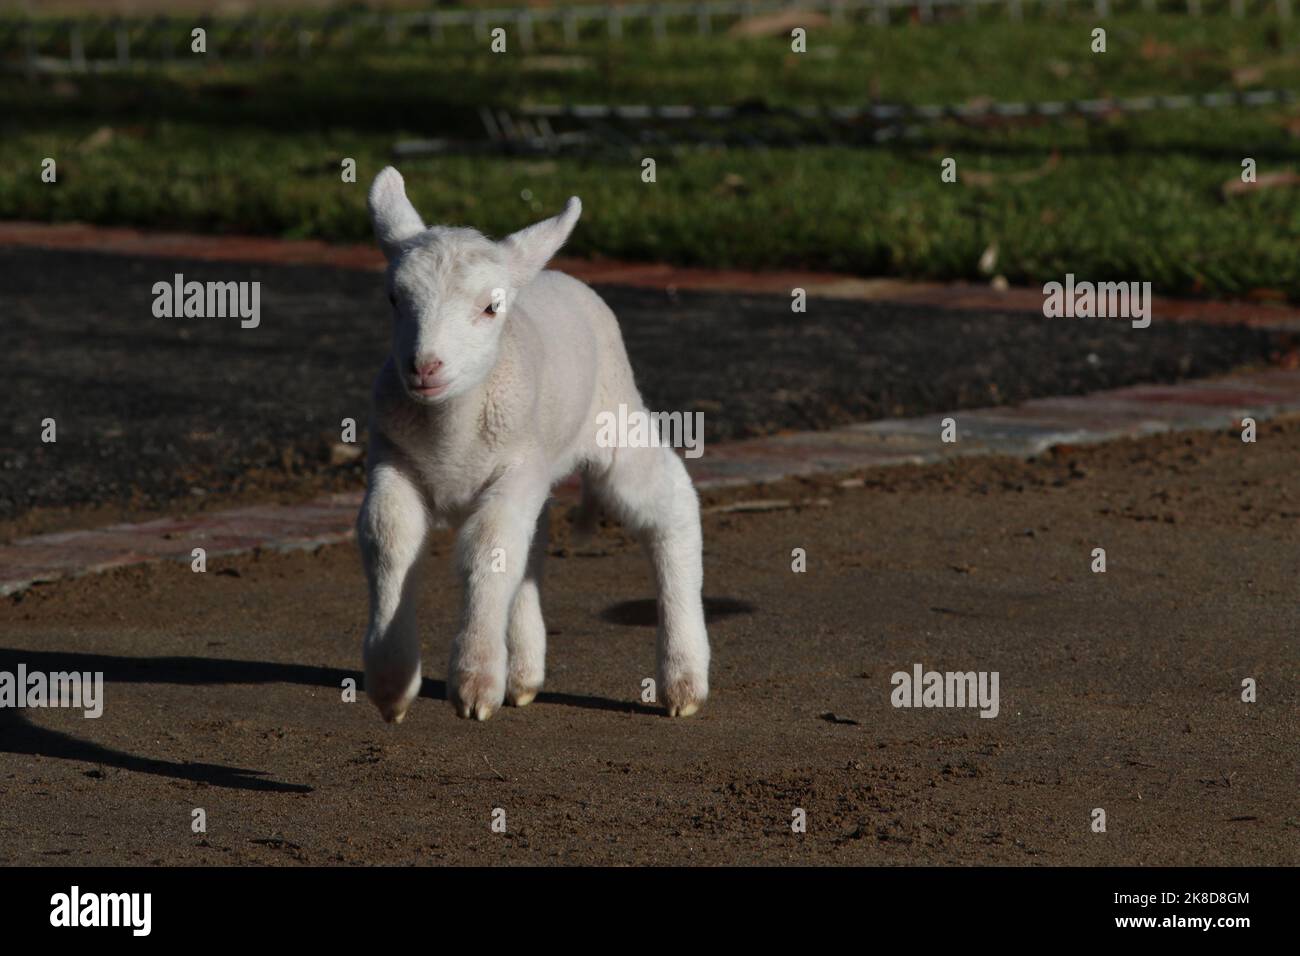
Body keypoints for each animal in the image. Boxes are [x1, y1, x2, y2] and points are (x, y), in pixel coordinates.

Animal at [356, 167, 712, 723]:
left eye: (490, 307)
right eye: (394, 298)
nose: (424, 366)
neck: (450, 435)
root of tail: (553, 274)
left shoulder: (516, 465)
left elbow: (490, 547)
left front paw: (476, 680)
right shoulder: (392, 459)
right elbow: (390, 537)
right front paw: (392, 684)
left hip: (614, 415)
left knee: (670, 504)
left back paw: (684, 680)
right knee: (534, 542)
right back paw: (523, 675)